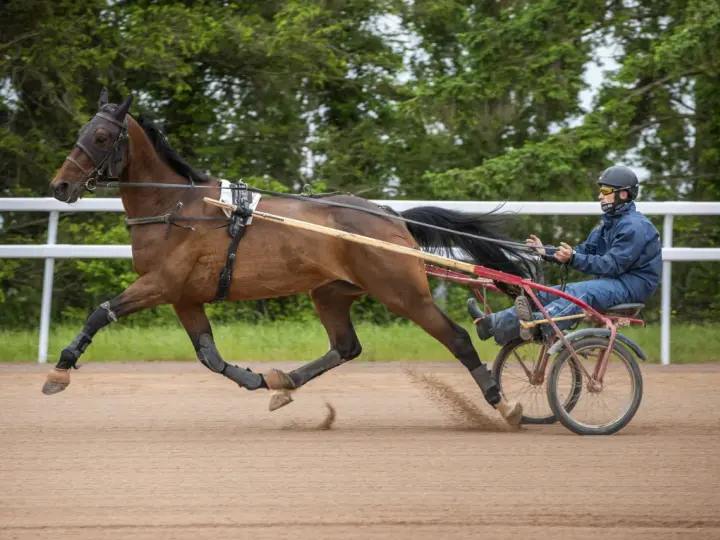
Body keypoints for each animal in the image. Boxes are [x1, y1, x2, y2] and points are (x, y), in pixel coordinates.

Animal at [46, 88, 531, 424]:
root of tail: (391, 216)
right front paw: (257, 379)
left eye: (102, 136)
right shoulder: (184, 297)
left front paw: (61, 369)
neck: (177, 207)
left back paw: (502, 403)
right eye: (81, 133)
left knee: (458, 339)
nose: (60, 186)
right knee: (345, 346)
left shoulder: (161, 284)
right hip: (331, 292)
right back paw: (285, 382)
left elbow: (101, 312)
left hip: (402, 291)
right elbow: (209, 355)